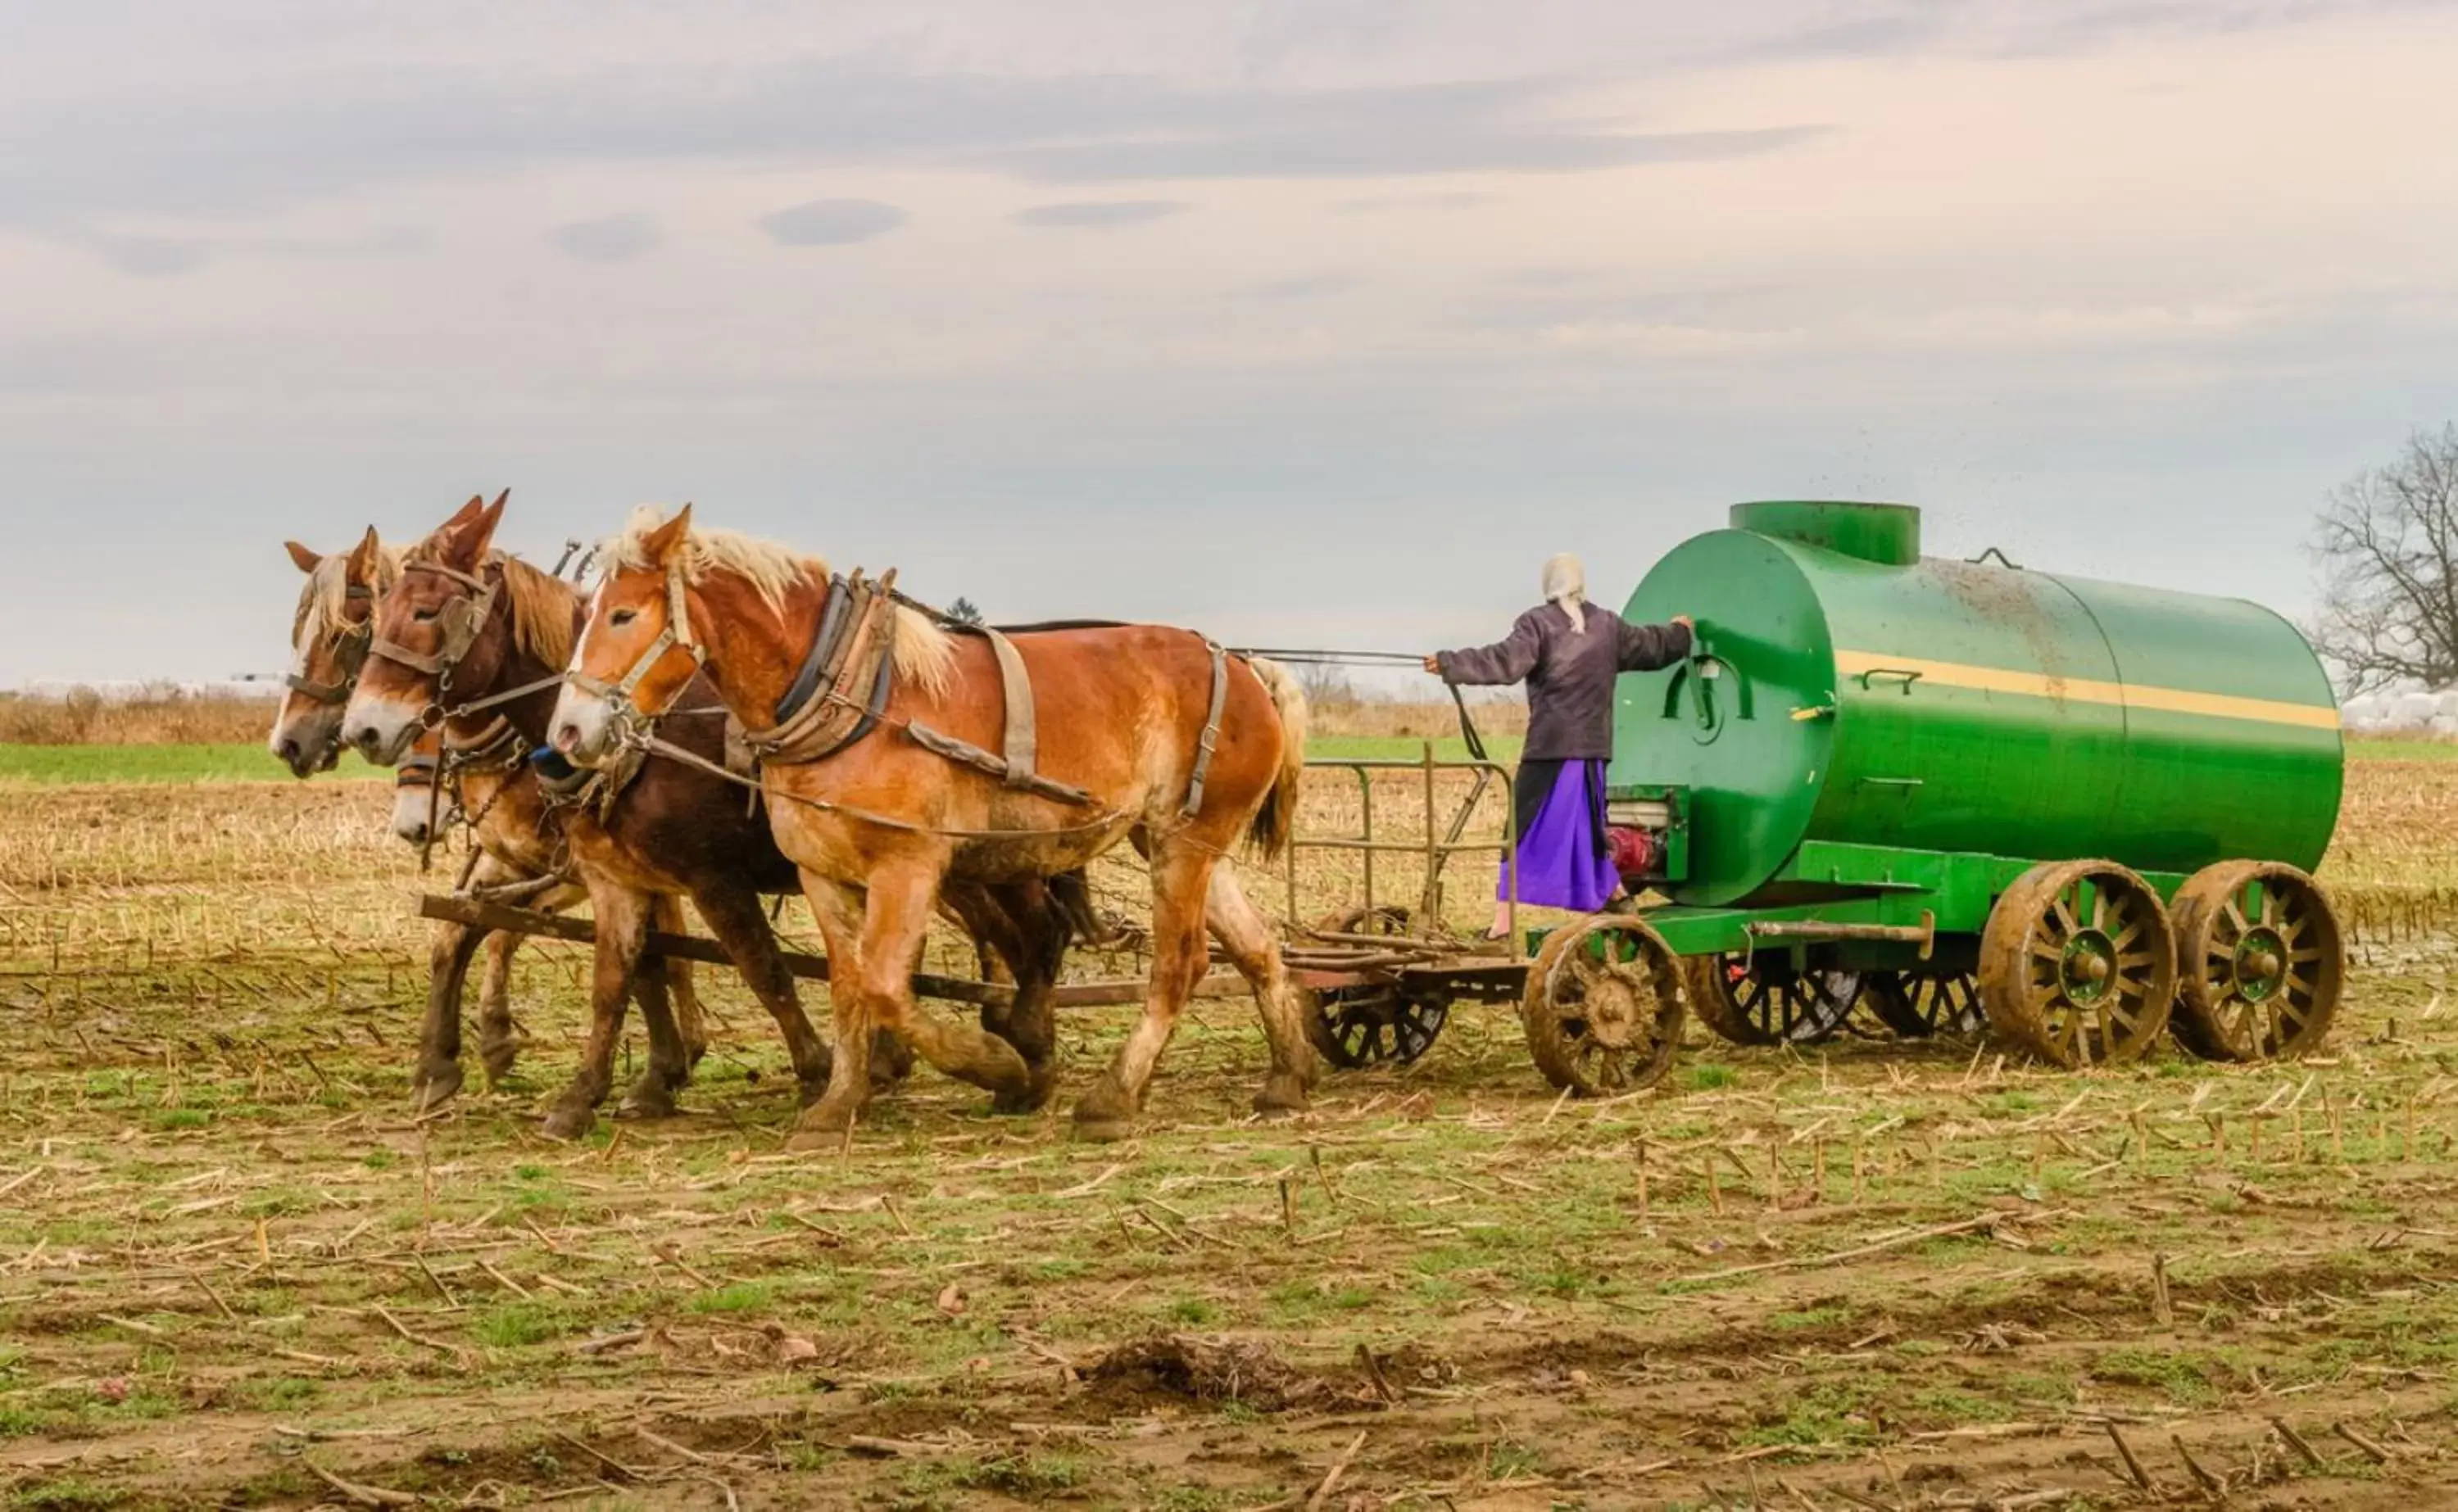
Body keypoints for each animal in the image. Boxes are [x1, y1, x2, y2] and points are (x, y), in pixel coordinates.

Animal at [558, 509, 1327, 1145]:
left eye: (621, 615)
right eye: (584, 613)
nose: (568, 732)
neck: (852, 697)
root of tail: (1244, 664)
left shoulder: (908, 867)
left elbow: (884, 985)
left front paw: (997, 1066)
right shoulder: (822, 873)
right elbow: (846, 987)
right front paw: (837, 1106)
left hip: (1181, 845)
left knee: (1179, 964)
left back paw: (1113, 1096)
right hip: (1178, 840)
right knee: (1259, 949)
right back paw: (1286, 1079)